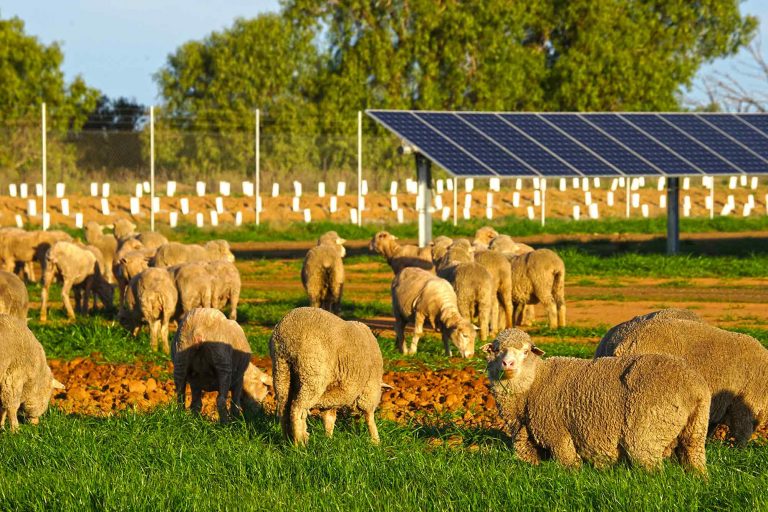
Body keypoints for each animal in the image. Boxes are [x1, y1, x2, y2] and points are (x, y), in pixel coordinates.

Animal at [272, 306, 390, 446]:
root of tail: (288, 333)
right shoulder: (369, 387)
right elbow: (369, 415)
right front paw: (376, 441)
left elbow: (329, 418)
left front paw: (328, 439)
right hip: (312, 373)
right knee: (297, 408)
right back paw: (299, 442)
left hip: (281, 370)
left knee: (284, 408)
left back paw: (288, 440)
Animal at [484, 330, 712, 474]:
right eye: (496, 350)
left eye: (526, 351)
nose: (507, 363)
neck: (534, 383)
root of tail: (695, 387)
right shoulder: (526, 438)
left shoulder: (558, 434)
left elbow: (567, 461)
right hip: (696, 428)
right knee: (694, 456)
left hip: (647, 434)